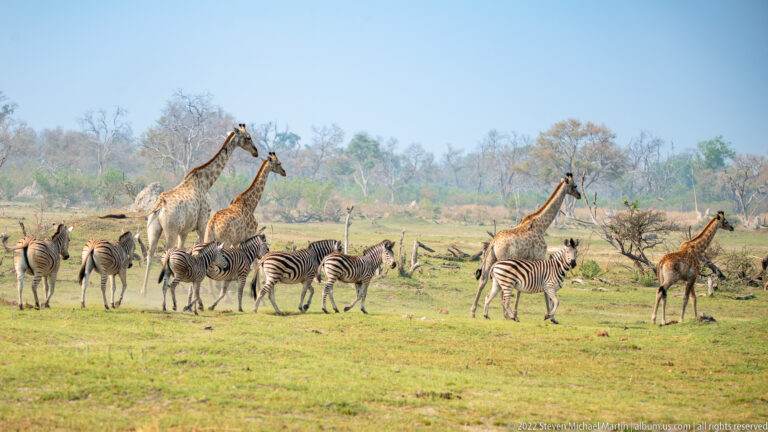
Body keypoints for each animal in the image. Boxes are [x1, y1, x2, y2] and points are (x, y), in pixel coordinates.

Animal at [139, 124, 259, 297]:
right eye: (248, 137)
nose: (256, 151)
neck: (205, 182)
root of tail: (159, 206)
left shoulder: (184, 231)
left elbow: (183, 250)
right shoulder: (202, 224)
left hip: (154, 229)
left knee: (150, 253)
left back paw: (144, 291)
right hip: (170, 230)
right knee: (166, 252)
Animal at [469, 173, 581, 318]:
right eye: (575, 185)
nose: (579, 195)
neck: (542, 225)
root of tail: (493, 242)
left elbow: (520, 289)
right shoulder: (539, 256)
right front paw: (549, 314)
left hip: (490, 258)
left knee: (483, 280)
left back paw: (473, 312)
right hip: (502, 259)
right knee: (501, 284)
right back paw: (506, 314)